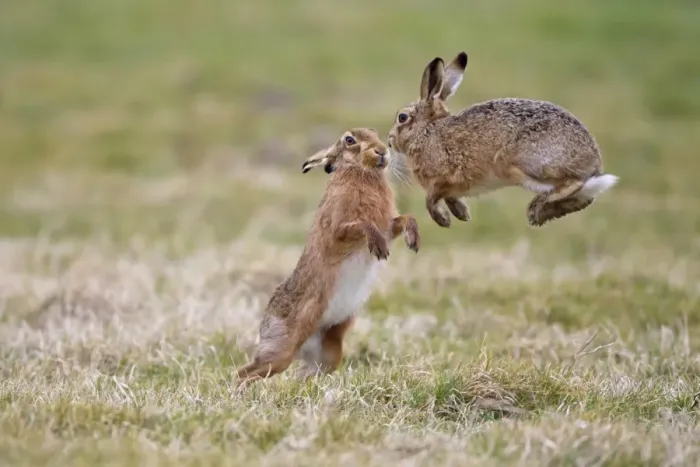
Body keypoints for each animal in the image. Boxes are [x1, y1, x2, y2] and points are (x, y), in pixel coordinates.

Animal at [236, 128, 421, 388]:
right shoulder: (338, 229)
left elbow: (405, 218)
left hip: (329, 353)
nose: (383, 151)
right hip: (280, 350)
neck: (360, 172)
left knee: (304, 374)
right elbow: (362, 225)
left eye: (375, 133)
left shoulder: (388, 226)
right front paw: (379, 248)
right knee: (243, 372)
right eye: (350, 140)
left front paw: (413, 239)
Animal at [387, 51, 619, 228]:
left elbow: (430, 200)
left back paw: (537, 209)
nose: (389, 141)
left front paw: (443, 220)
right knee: (585, 197)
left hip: (516, 164)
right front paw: (462, 214)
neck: (425, 132)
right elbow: (449, 198)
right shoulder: (450, 187)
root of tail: (593, 162)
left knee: (574, 184)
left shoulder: (443, 178)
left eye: (402, 117)